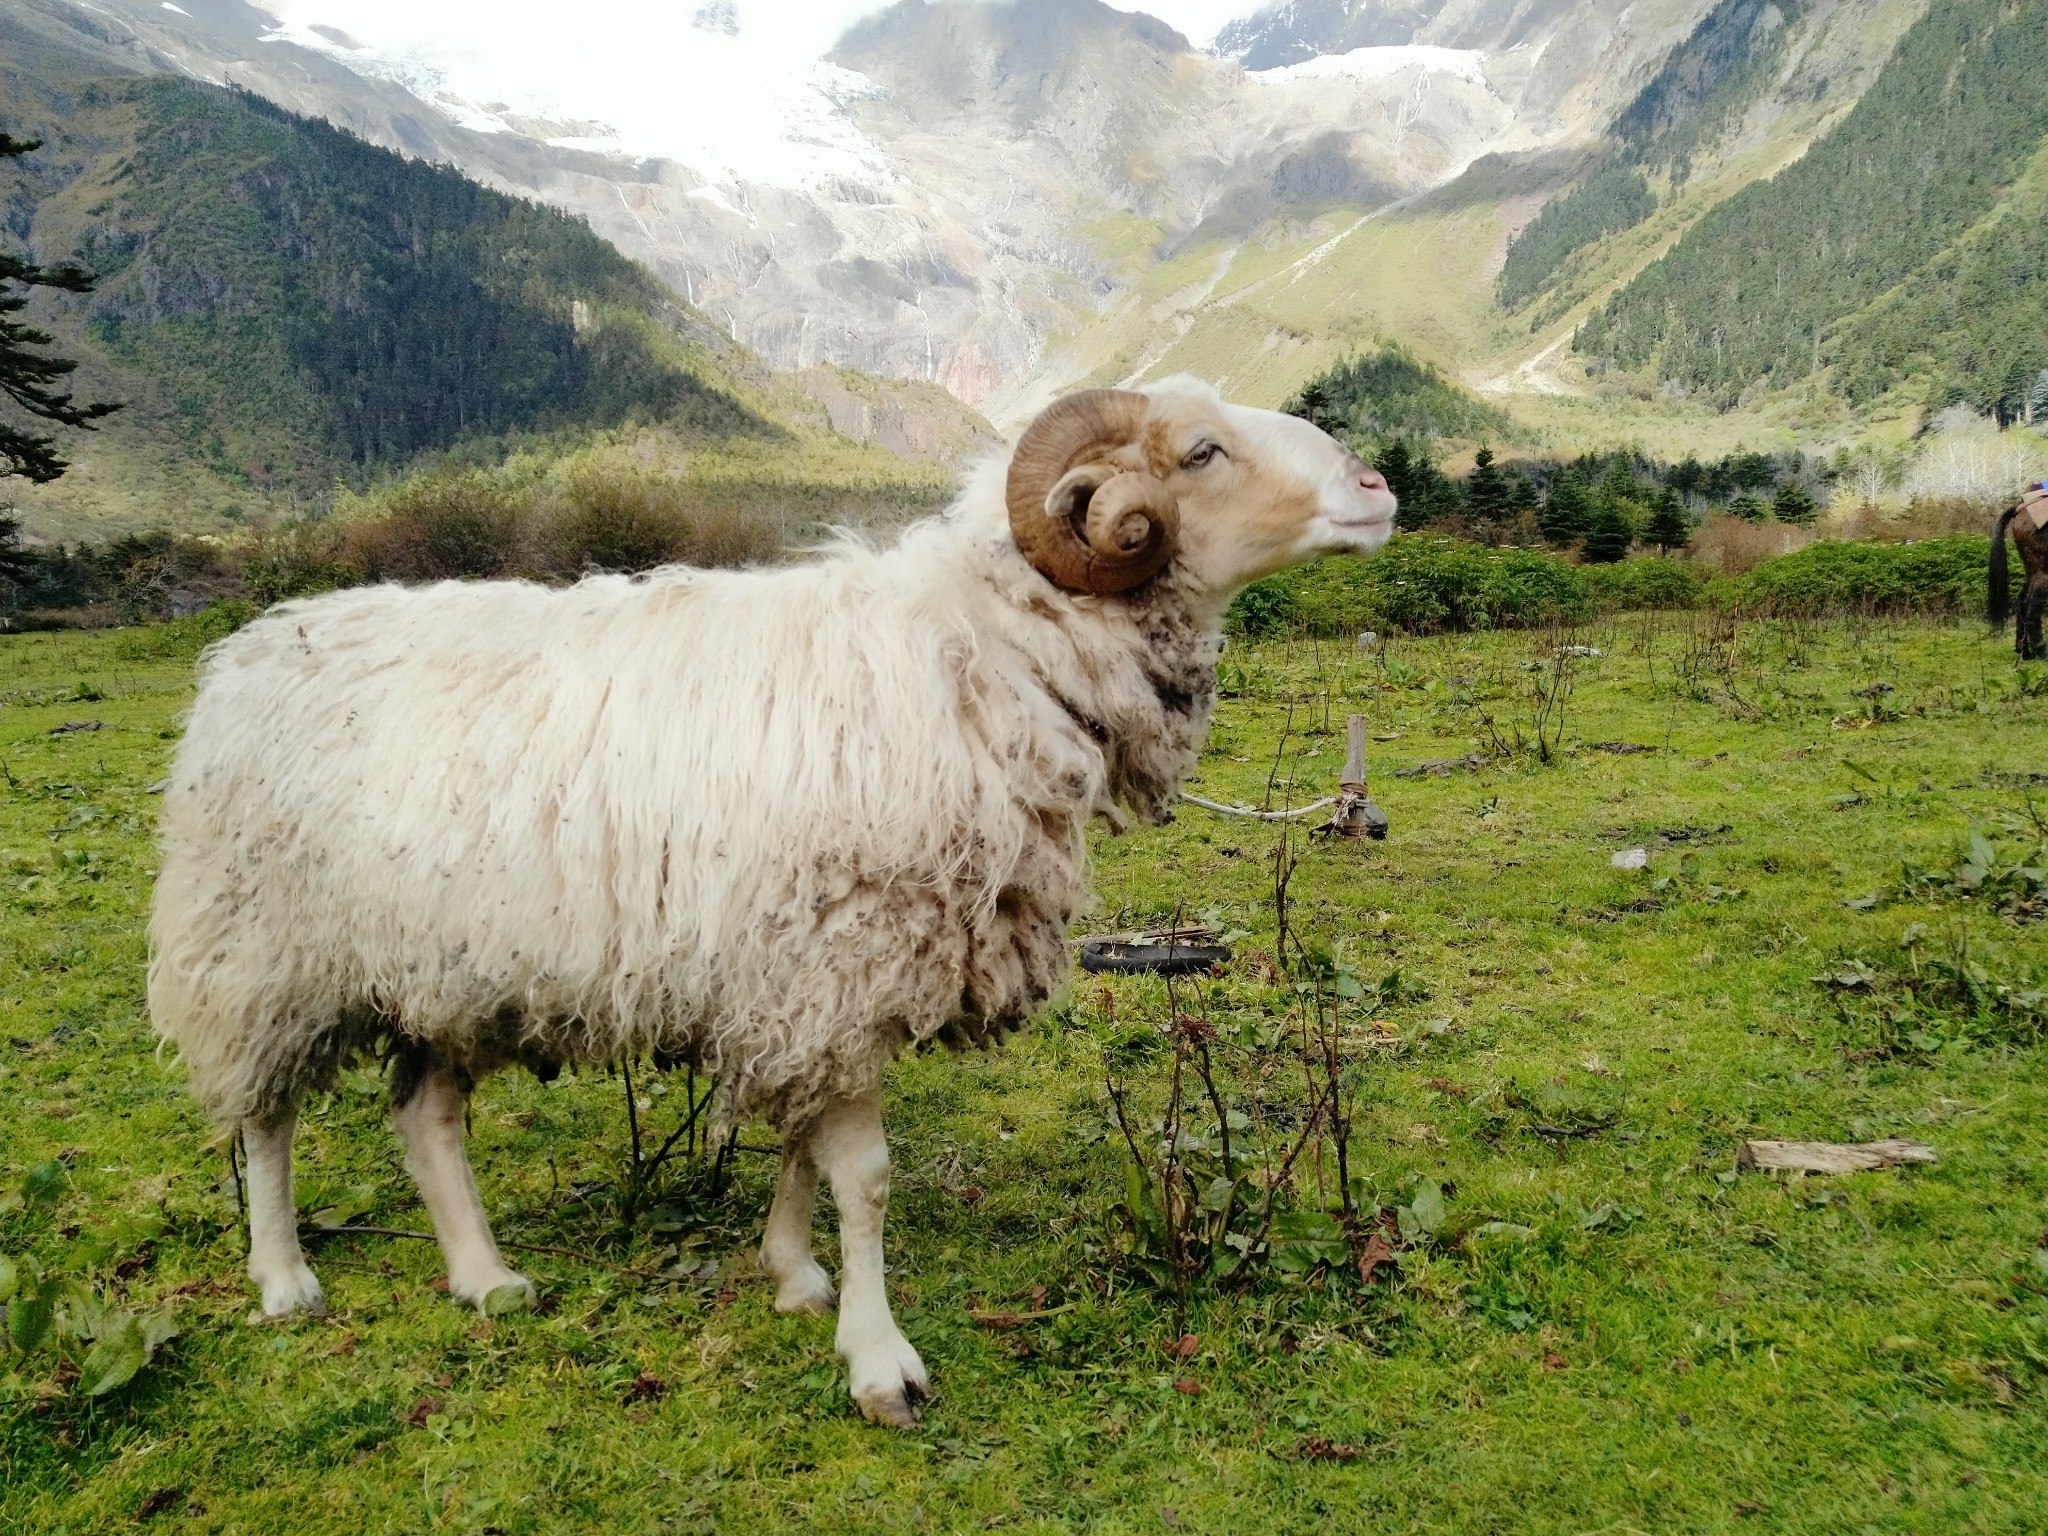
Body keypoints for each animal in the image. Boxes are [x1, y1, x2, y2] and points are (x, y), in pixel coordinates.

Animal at [1982, 493, 2048, 663]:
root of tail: (2022, 507)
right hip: (2043, 572)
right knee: (2032, 609)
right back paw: (2042, 651)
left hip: (2032, 571)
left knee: (2023, 601)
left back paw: (2024, 651)